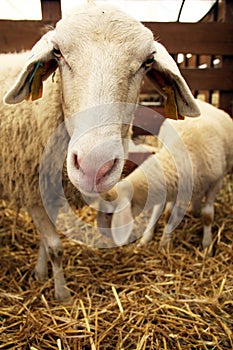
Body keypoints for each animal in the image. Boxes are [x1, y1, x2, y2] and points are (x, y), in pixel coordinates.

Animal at [0, 1, 199, 300]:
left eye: (147, 61)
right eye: (57, 52)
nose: (95, 167)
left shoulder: (47, 191)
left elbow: (46, 241)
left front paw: (41, 273)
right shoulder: (30, 189)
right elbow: (55, 246)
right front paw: (62, 294)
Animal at [97, 100, 233, 256]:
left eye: (109, 213)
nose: (102, 233)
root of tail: (201, 101)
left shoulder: (216, 181)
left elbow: (208, 215)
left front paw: (207, 247)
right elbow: (167, 214)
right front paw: (163, 242)